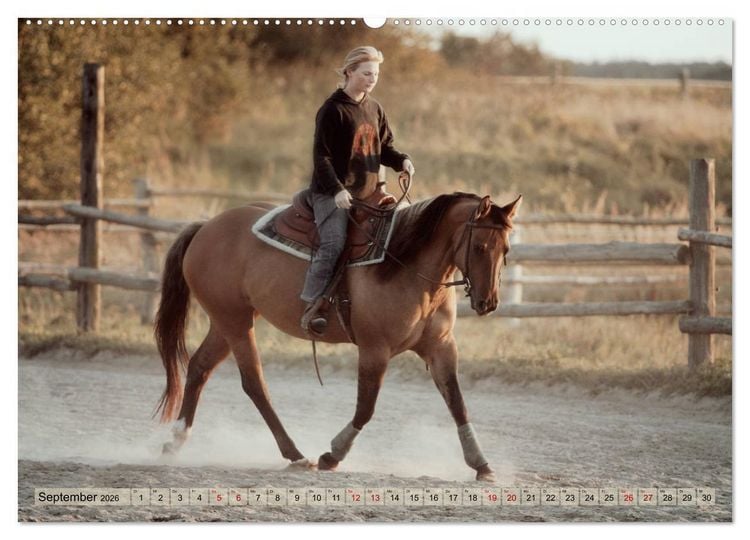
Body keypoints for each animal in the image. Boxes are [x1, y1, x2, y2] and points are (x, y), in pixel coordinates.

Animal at [154, 191, 522, 481]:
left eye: (505, 249)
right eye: (479, 246)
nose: (488, 302)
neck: (406, 266)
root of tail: (205, 228)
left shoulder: (442, 347)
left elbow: (458, 404)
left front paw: (482, 465)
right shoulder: (375, 350)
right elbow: (366, 408)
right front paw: (332, 455)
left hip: (228, 320)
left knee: (200, 368)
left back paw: (175, 442)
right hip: (235, 322)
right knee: (254, 383)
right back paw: (295, 454)